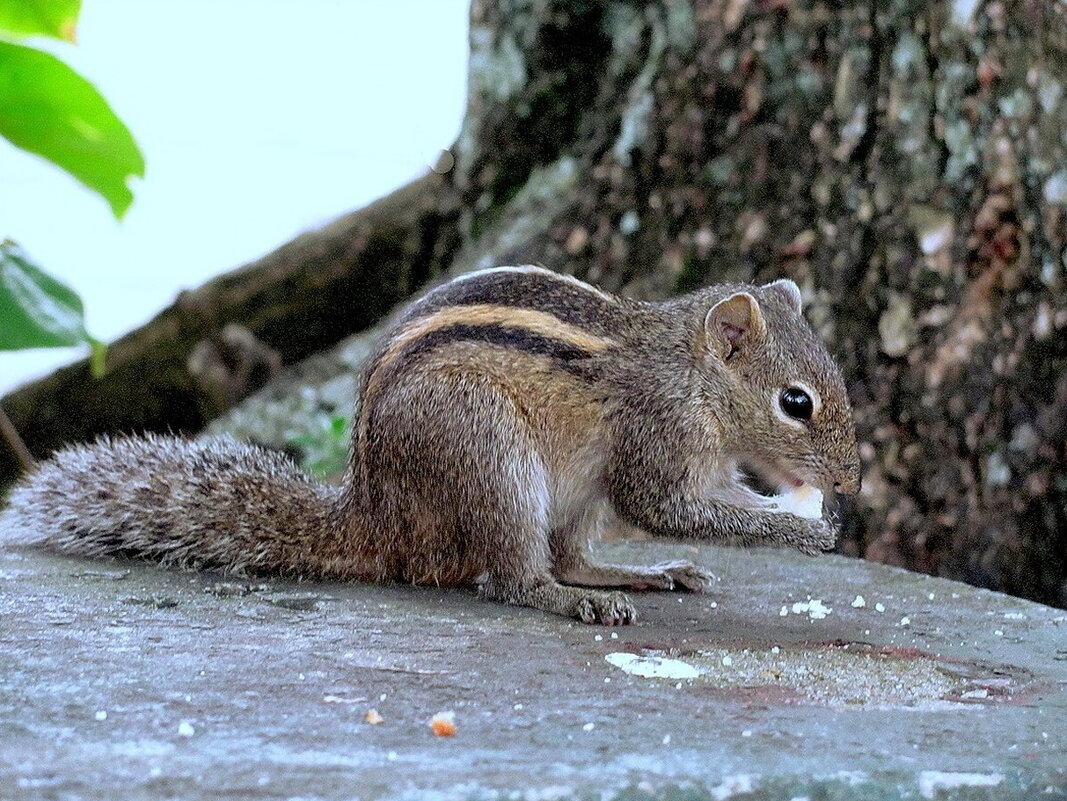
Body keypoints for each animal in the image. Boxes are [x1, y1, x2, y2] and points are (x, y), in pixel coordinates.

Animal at [0, 266, 857, 622]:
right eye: (795, 402)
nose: (848, 482)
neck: (688, 370)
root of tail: (378, 516)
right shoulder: (655, 438)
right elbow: (671, 507)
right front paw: (805, 532)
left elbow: (713, 504)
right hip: (489, 453)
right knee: (515, 578)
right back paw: (572, 602)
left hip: (566, 495)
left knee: (570, 552)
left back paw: (632, 575)